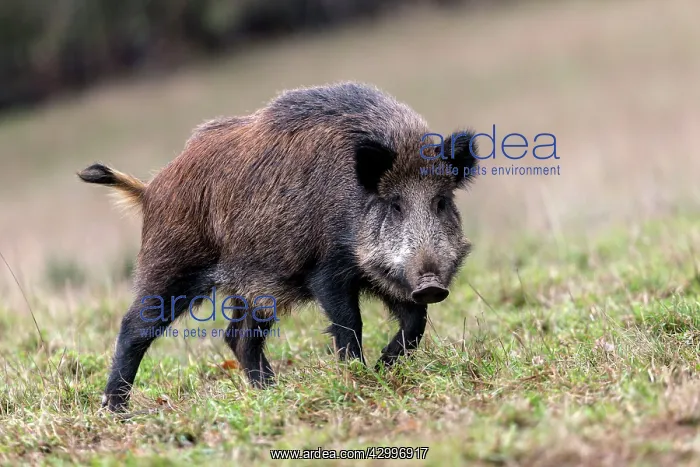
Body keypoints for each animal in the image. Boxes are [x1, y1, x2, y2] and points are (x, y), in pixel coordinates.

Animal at [78, 81, 479, 412]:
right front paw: (359, 374)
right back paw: (115, 409)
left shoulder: (386, 279)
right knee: (134, 327)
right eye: (394, 204)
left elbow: (415, 323)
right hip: (170, 264)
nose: (430, 284)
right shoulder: (326, 269)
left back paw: (270, 391)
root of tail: (149, 190)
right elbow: (349, 323)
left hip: (256, 285)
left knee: (237, 337)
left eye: (441, 202)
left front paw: (382, 367)